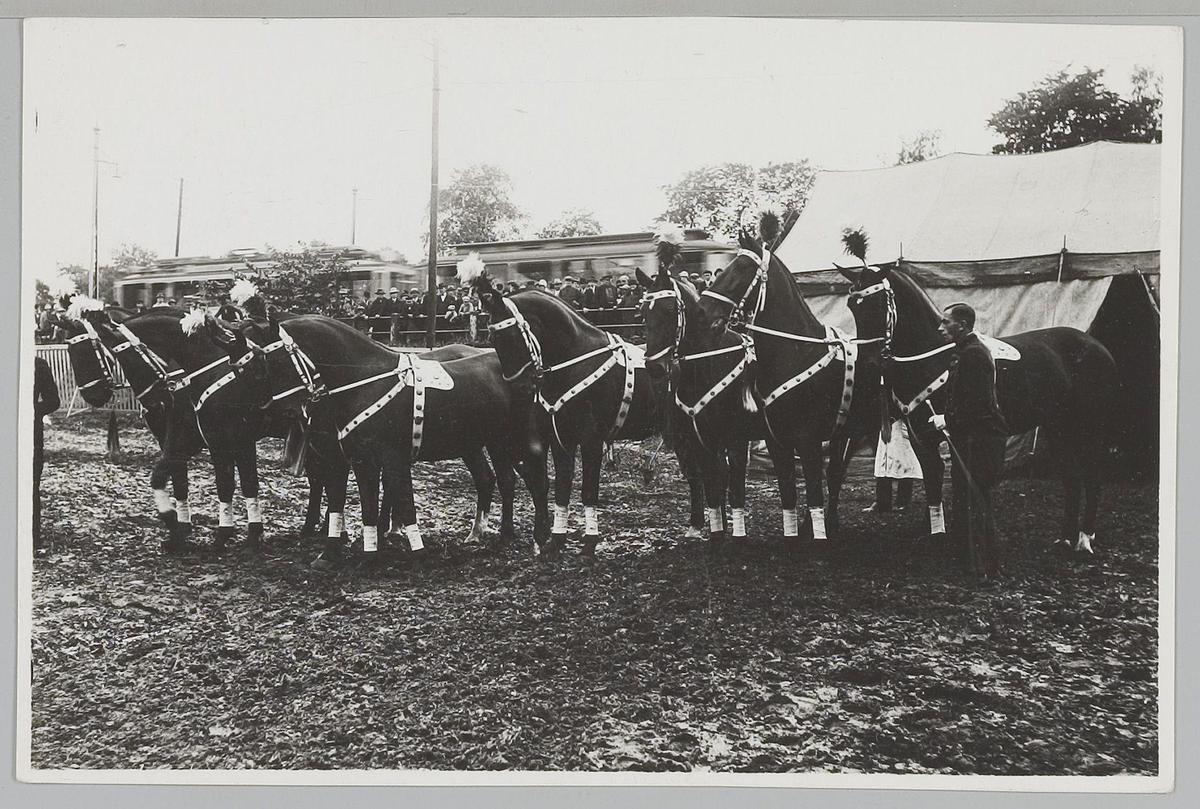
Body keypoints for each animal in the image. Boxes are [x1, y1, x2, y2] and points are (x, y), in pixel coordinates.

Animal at [222, 311, 550, 558]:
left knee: (533, 480)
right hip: (485, 442)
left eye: (273, 363)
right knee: (498, 479)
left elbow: (396, 498)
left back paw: (538, 537)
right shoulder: (360, 457)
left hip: (512, 441)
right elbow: (366, 500)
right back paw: (489, 533)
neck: (365, 380)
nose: (290, 410)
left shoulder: (386, 457)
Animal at [467, 263, 706, 556]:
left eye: (513, 335)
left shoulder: (591, 440)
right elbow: (562, 489)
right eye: (493, 337)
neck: (576, 361)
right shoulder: (561, 440)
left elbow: (588, 491)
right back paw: (695, 527)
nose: (521, 387)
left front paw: (590, 541)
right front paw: (556, 540)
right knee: (696, 475)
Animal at [690, 216, 931, 542]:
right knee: (842, 471)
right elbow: (790, 495)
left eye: (741, 268)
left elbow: (813, 491)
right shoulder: (778, 442)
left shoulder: (808, 441)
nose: (702, 313)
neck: (796, 352)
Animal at [836, 256, 1118, 553]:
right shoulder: (922, 438)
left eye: (880, 303)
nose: (869, 362)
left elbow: (960, 483)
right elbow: (934, 482)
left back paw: (1084, 539)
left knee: (1092, 476)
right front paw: (936, 533)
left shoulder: (957, 434)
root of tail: (1097, 345)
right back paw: (1065, 537)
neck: (935, 355)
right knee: (1072, 478)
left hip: (1089, 427)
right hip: (1057, 428)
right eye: (852, 305)